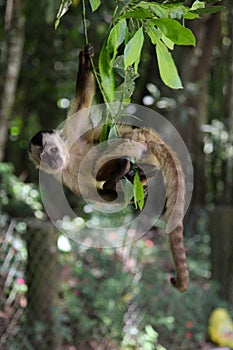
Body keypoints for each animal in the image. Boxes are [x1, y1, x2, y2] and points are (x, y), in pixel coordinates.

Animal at [29, 43, 189, 292]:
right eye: (44, 157)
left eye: (53, 150)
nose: (53, 161)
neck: (68, 156)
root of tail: (147, 137)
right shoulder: (63, 176)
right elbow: (95, 195)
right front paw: (117, 193)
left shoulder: (72, 134)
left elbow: (82, 102)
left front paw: (85, 60)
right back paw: (135, 175)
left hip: (132, 141)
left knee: (107, 152)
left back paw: (125, 170)